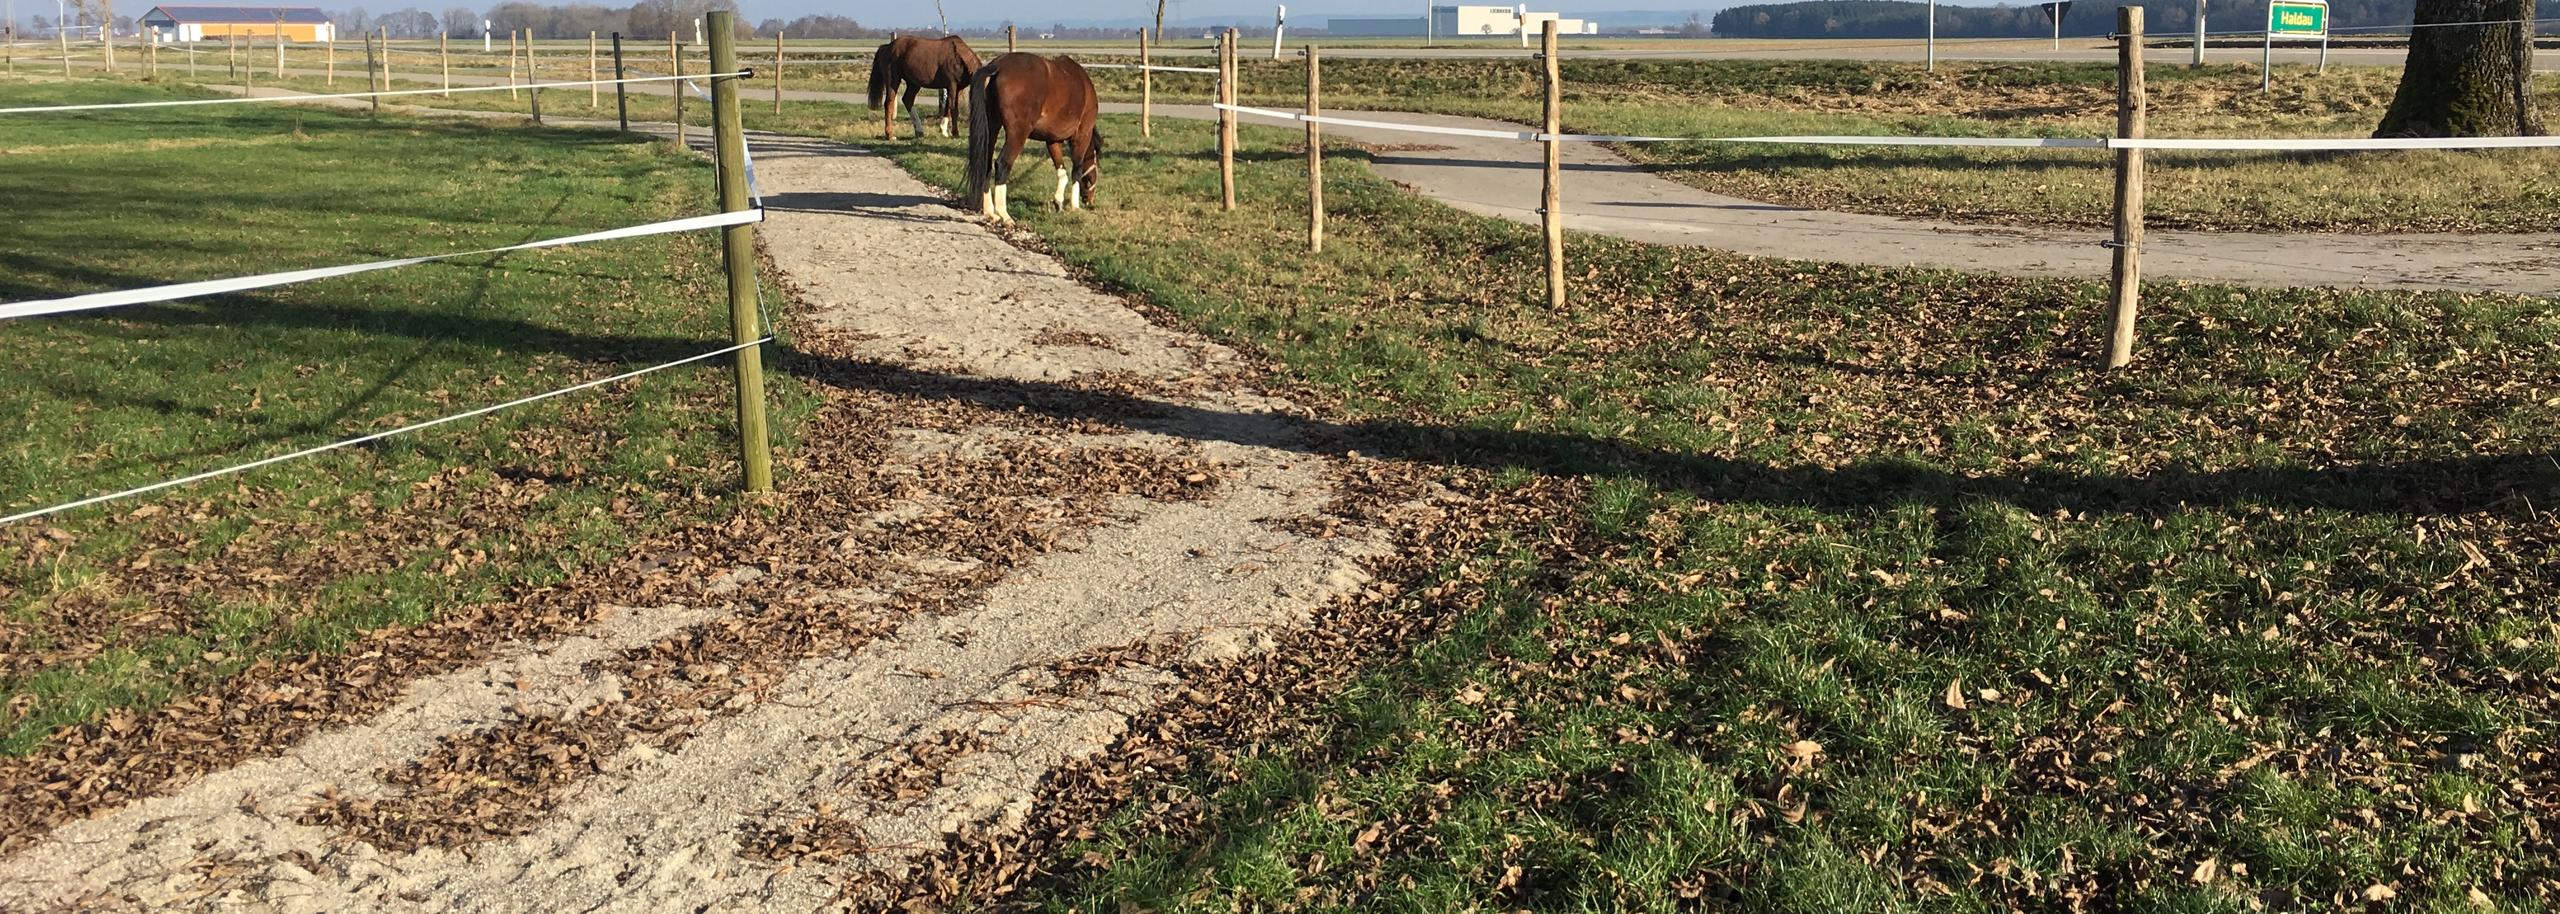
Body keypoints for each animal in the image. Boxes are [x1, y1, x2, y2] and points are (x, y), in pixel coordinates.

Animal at [965, 53, 1103, 223]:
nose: (1090, 200)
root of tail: (997, 66)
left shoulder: (1053, 140)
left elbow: (1061, 170)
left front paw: (1058, 202)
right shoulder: (1082, 135)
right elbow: (1076, 170)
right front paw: (1075, 206)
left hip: (991, 128)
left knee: (986, 163)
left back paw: (990, 212)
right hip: (1018, 134)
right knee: (1002, 164)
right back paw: (1005, 215)